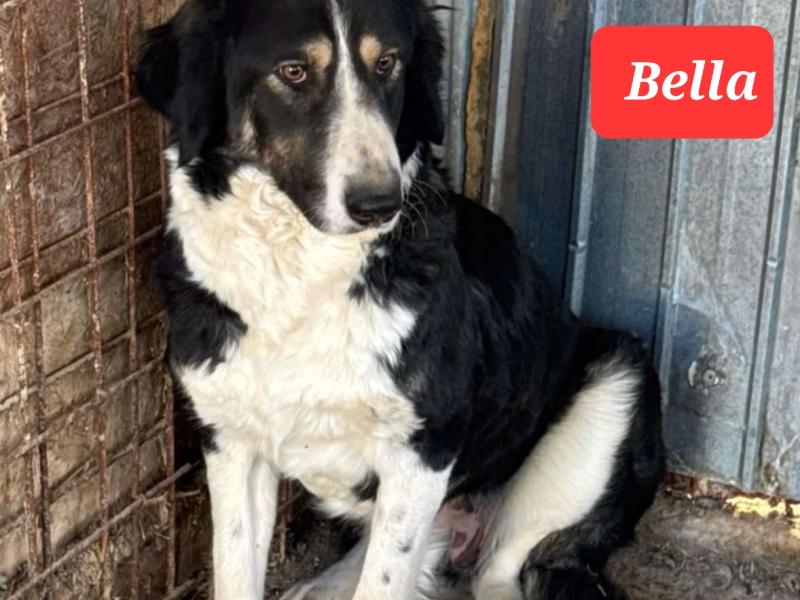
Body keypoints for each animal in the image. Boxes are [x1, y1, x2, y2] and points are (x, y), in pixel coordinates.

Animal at [135, 1, 664, 598]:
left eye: (387, 62)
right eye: (293, 71)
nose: (379, 203)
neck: (303, 275)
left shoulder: (423, 449)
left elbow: (384, 581)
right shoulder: (231, 441)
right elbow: (234, 572)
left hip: (616, 382)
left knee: (499, 571)